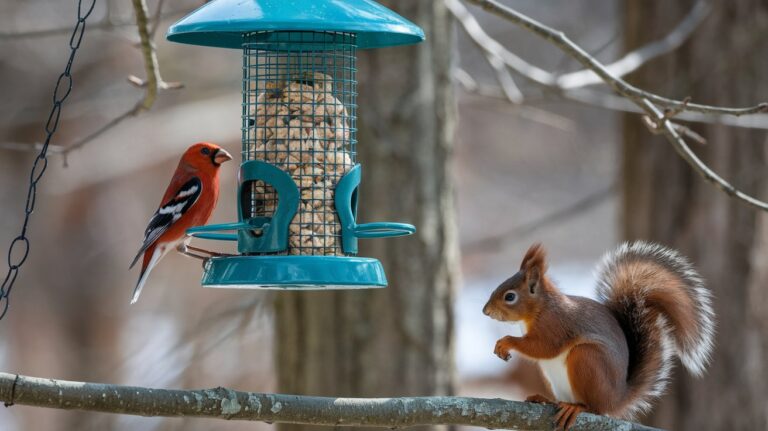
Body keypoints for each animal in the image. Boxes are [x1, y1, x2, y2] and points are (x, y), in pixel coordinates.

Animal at [482, 242, 715, 430]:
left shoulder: (555, 325)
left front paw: (506, 342)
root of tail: (616, 399)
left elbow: (544, 347)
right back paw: (547, 400)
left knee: (594, 407)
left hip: (586, 358)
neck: (540, 308)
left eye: (510, 297)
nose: (485, 311)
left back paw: (576, 408)